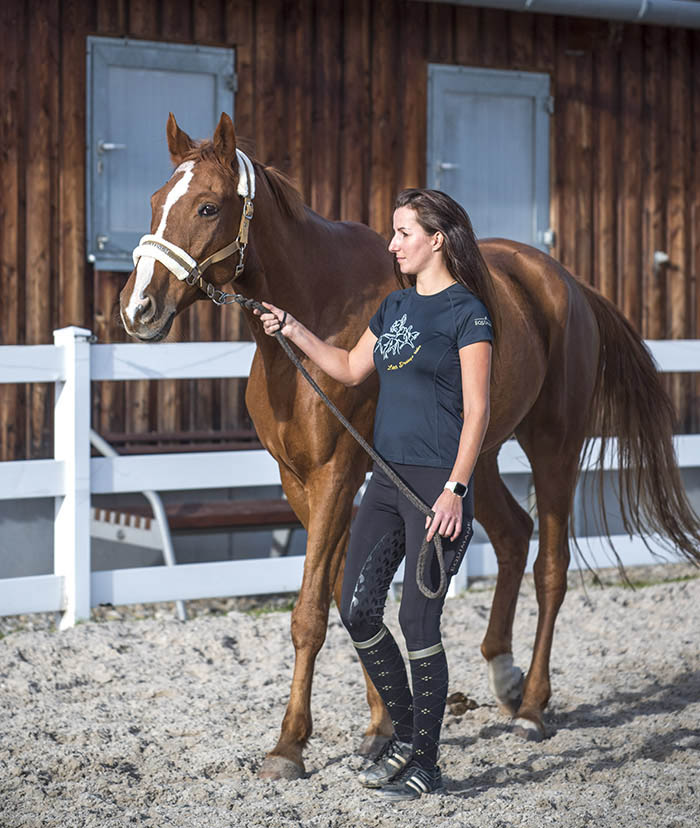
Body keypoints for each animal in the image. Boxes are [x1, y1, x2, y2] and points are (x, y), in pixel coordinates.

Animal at [120, 115, 700, 784]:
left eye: (209, 206)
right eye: (155, 201)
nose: (137, 309)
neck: (324, 302)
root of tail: (568, 283)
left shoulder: (337, 474)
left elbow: (310, 612)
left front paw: (289, 746)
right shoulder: (300, 481)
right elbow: (348, 595)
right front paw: (380, 729)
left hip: (555, 446)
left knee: (550, 567)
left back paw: (532, 707)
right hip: (479, 457)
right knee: (513, 535)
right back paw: (504, 678)